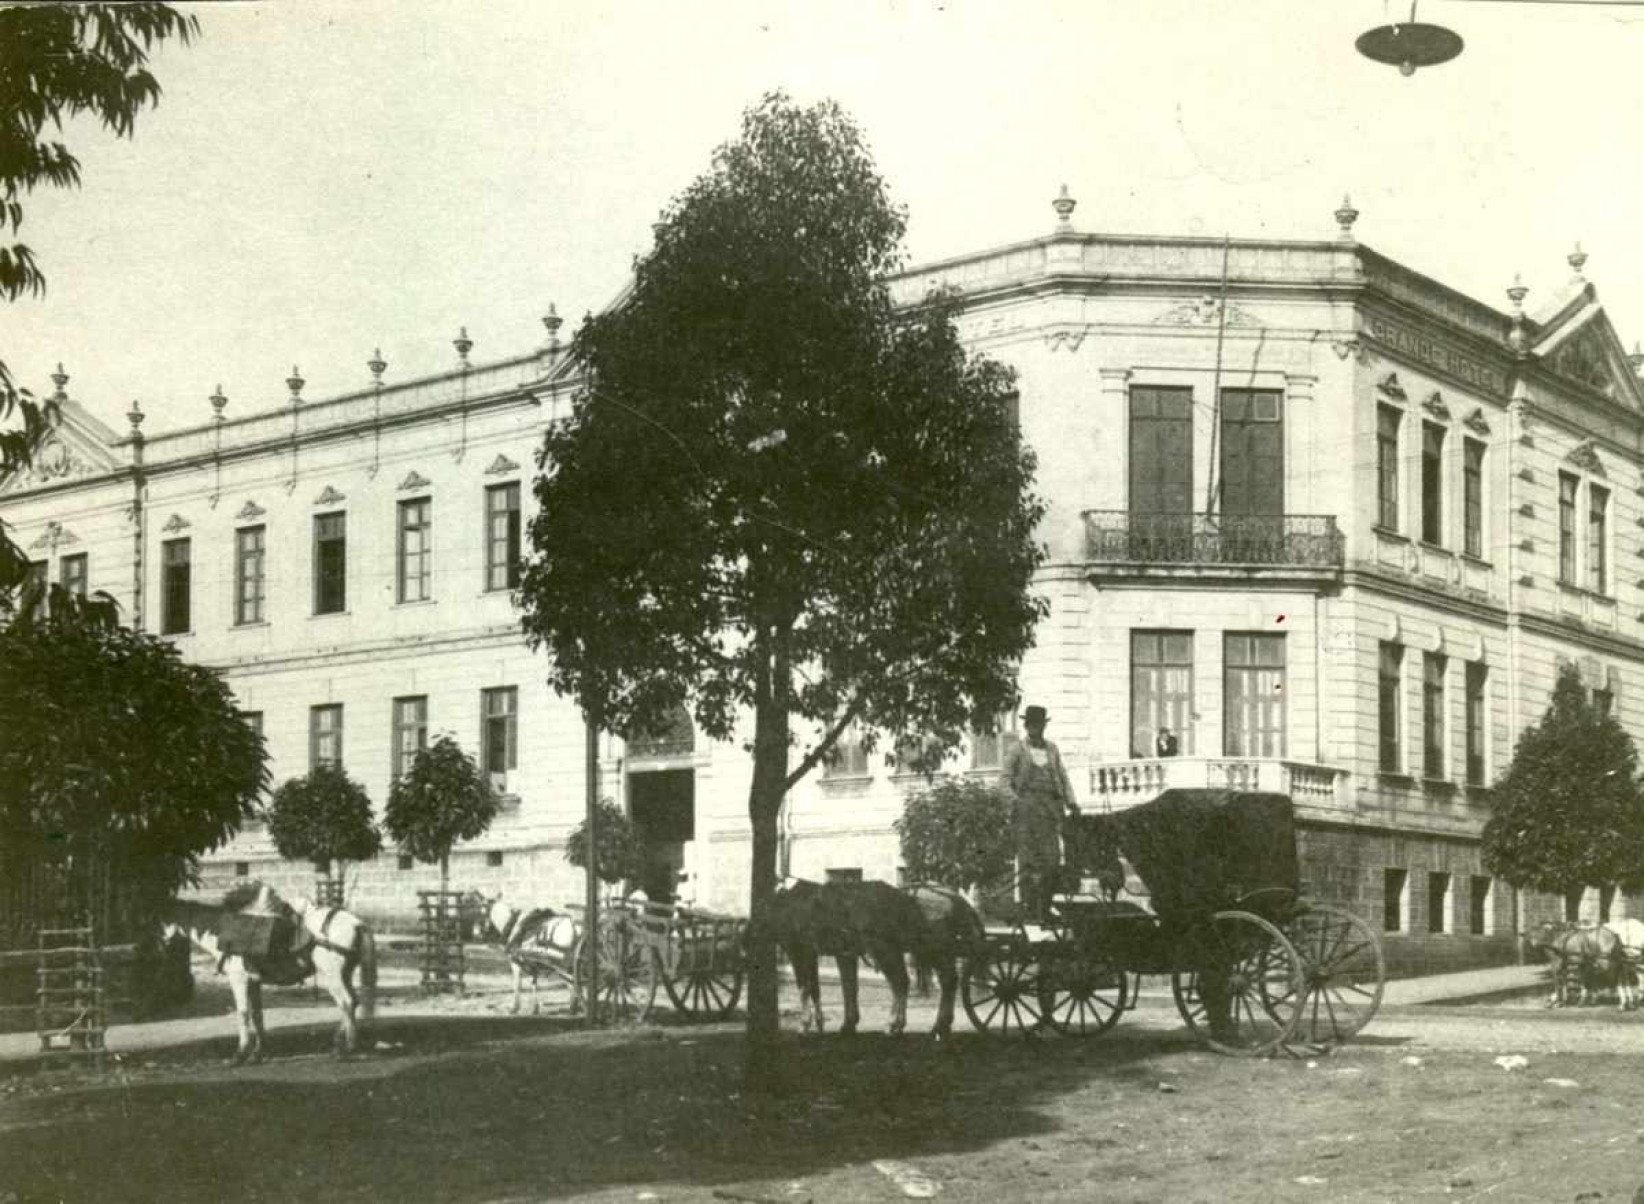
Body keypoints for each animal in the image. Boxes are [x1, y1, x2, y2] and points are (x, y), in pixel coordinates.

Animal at [161, 881, 378, 1065]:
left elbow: (243, 1013)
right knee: (352, 1002)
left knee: (346, 1003)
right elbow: (257, 1015)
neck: (223, 932)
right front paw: (258, 1054)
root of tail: (357, 923)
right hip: (345, 974)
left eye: (160, 920)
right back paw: (338, 1044)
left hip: (332, 976)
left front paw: (240, 1055)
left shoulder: (239, 979)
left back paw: (347, 1049)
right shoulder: (253, 982)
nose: (161, 945)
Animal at [766, 881, 979, 1039]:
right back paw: (938, 1026)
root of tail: (955, 898)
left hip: (908, 951)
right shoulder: (831, 954)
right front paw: (836, 1024)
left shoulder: (798, 951)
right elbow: (837, 988)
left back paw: (898, 1025)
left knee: (907, 981)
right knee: (940, 981)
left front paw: (805, 1025)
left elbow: (805, 987)